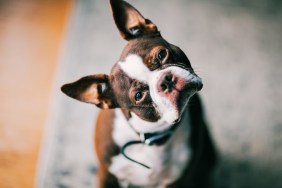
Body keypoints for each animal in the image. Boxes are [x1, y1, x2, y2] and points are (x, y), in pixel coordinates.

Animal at [61, 0, 216, 187]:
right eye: (138, 96)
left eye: (162, 54)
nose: (165, 81)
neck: (151, 137)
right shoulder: (107, 175)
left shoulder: (181, 179)